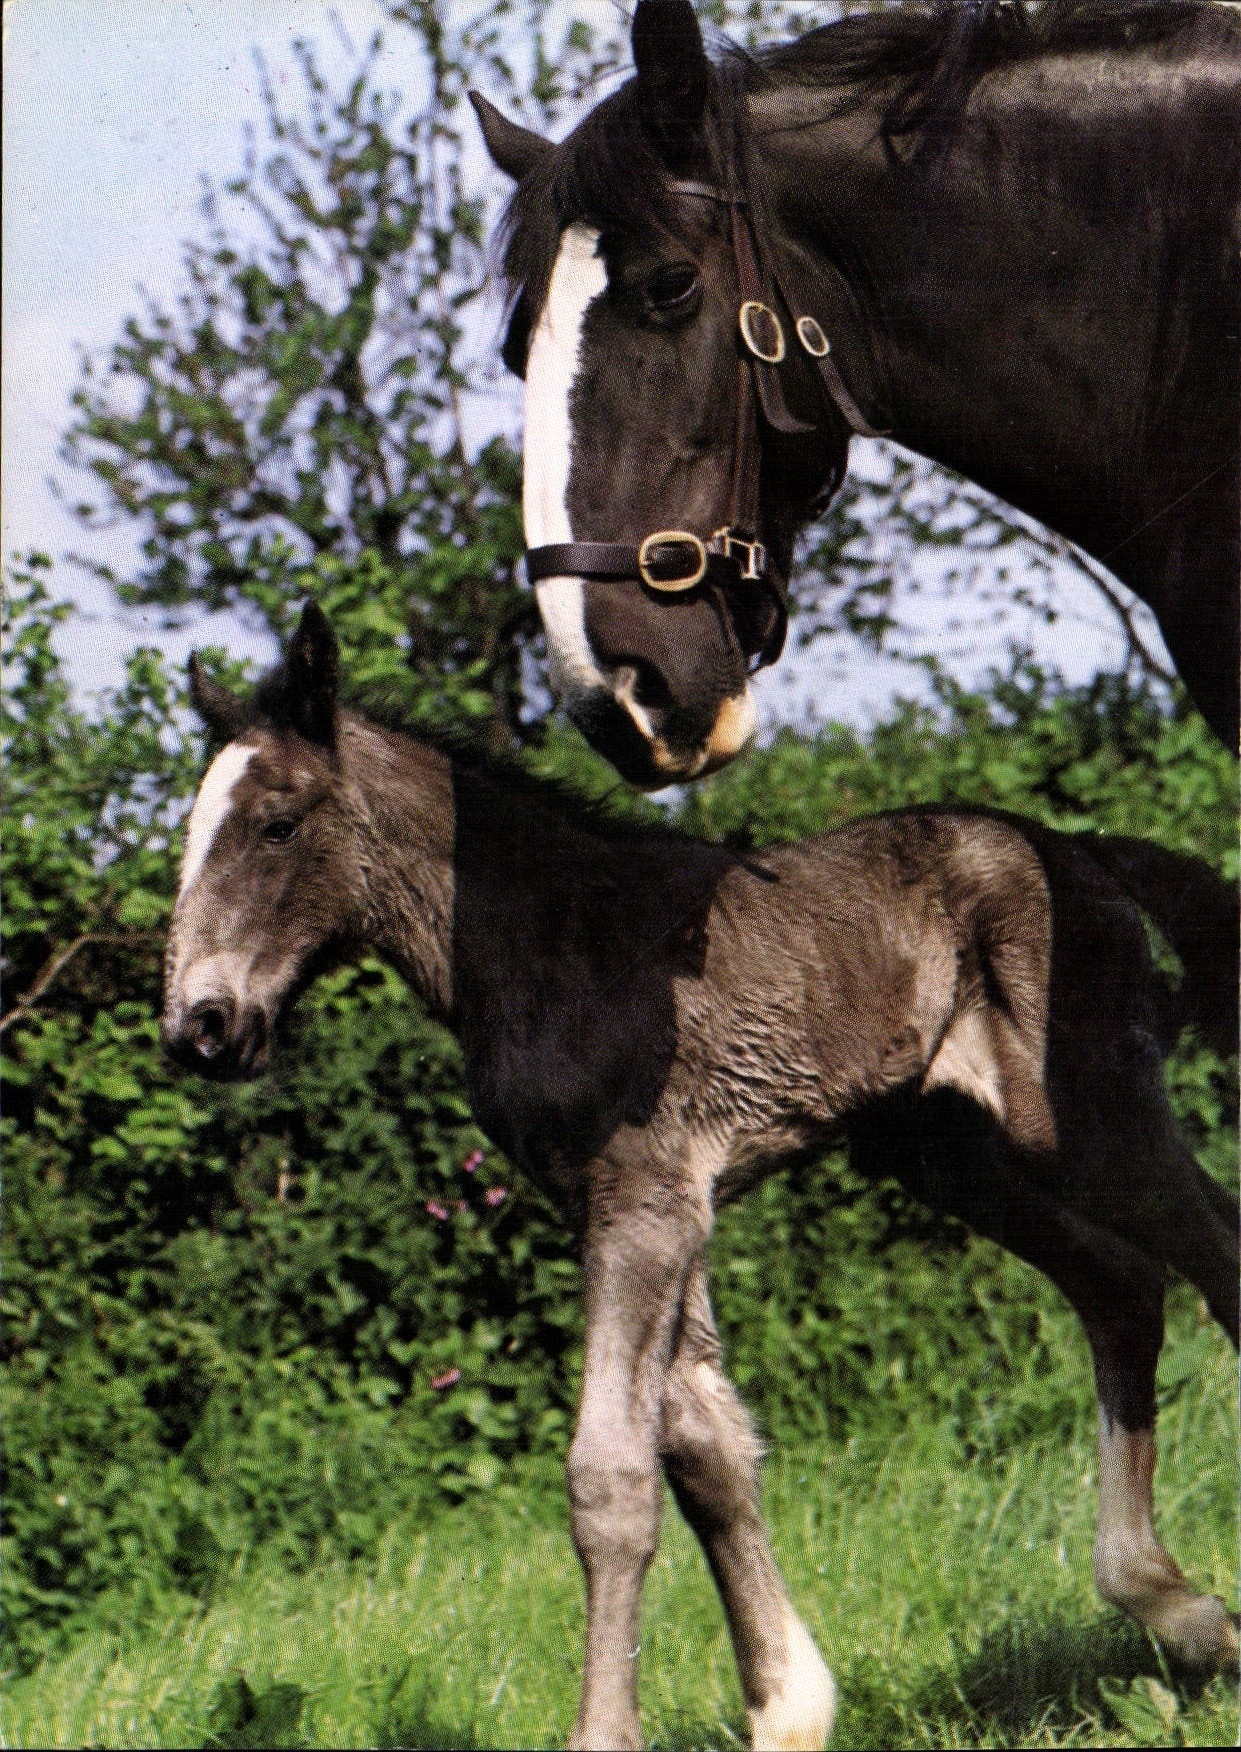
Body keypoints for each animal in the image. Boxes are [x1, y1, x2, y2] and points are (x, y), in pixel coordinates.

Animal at [162, 602, 1237, 1749]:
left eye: (276, 823)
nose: (199, 1027)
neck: (551, 943)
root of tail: (1078, 851)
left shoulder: (645, 1206)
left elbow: (611, 1476)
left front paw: (609, 1732)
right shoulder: (627, 1208)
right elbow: (703, 1448)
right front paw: (788, 1707)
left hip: (1085, 1117)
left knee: (1214, 1255)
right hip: (950, 1154)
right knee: (1120, 1286)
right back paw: (1176, 1611)